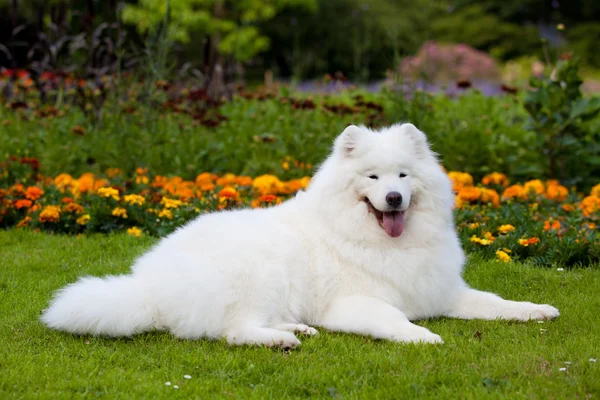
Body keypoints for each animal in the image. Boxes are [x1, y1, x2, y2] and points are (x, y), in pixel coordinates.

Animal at [41, 124, 556, 346]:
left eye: (403, 176)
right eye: (372, 178)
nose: (393, 199)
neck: (383, 241)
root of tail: (148, 288)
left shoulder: (443, 292)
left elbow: (496, 303)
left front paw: (537, 309)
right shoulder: (353, 303)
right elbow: (393, 320)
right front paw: (422, 336)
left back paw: (295, 328)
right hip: (260, 271)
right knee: (233, 331)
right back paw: (282, 340)